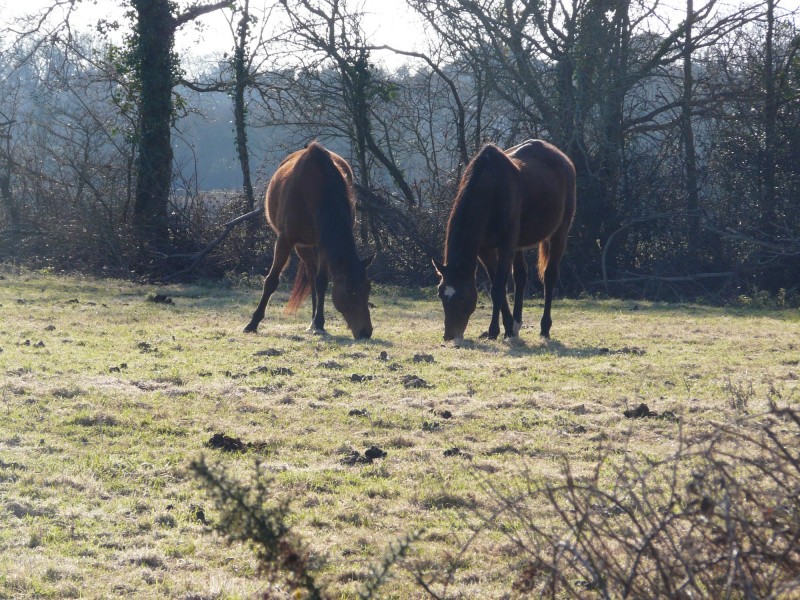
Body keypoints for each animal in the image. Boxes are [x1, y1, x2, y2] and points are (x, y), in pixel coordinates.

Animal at [244, 141, 376, 338]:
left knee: (314, 277)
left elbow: (321, 282)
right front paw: (252, 323)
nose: (365, 332)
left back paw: (313, 321)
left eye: (368, 288)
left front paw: (319, 322)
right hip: (302, 246)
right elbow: (271, 281)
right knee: (310, 274)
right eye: (349, 290)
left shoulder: (323, 243)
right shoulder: (285, 239)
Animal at [432, 138, 576, 340]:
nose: (449, 335)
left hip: (559, 234)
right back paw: (517, 323)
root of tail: (564, 159)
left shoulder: (506, 246)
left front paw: (494, 330)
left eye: (461, 296)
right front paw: (508, 327)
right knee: (521, 278)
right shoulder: (486, 250)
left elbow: (498, 288)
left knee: (550, 276)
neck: (491, 189)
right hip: (519, 245)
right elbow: (497, 285)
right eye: (440, 295)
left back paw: (544, 328)